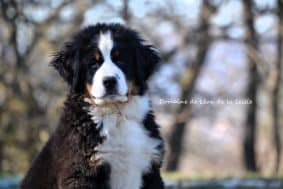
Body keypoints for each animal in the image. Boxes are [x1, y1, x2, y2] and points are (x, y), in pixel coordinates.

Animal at [20, 22, 164, 189]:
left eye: (121, 60)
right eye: (93, 64)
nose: (109, 81)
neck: (117, 114)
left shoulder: (151, 168)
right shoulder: (81, 172)